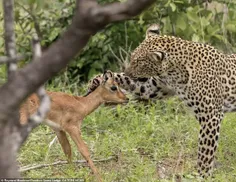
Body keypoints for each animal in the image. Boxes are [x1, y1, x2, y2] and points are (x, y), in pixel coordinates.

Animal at [125, 23, 236, 178]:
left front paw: (202, 175)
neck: (174, 72)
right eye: (132, 58)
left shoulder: (211, 116)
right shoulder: (155, 88)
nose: (127, 73)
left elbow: (205, 151)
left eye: (139, 63)